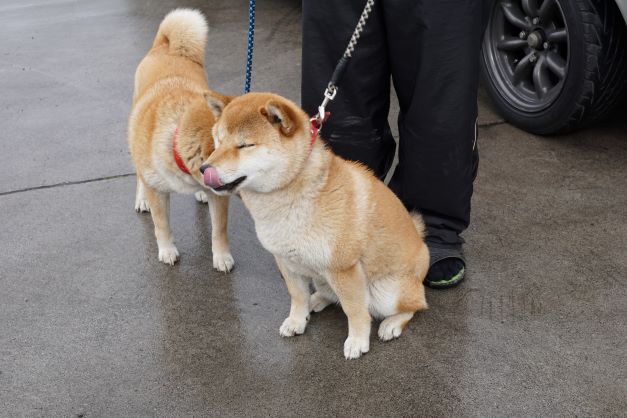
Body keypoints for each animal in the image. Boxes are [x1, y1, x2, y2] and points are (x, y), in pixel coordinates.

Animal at [127, 9, 236, 272]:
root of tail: (165, 46)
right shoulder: (158, 191)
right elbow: (162, 226)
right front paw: (167, 250)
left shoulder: (219, 197)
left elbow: (219, 231)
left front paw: (221, 256)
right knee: (139, 177)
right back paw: (141, 199)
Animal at [204, 92, 430, 360]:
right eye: (218, 141)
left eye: (244, 145)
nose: (204, 169)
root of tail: (423, 248)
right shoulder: (286, 261)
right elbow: (297, 296)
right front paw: (297, 320)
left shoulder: (344, 269)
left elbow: (355, 311)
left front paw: (357, 341)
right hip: (320, 273)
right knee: (327, 293)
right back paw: (317, 301)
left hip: (386, 291)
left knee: (415, 305)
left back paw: (392, 324)